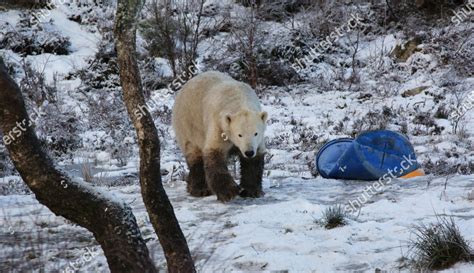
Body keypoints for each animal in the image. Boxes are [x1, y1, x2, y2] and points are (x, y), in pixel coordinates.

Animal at [172, 71, 266, 201]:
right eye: (239, 134)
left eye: (256, 133)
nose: (249, 152)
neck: (239, 100)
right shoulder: (219, 126)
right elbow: (214, 155)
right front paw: (228, 192)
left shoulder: (258, 142)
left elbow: (254, 162)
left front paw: (252, 191)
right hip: (188, 123)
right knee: (194, 155)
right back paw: (200, 189)